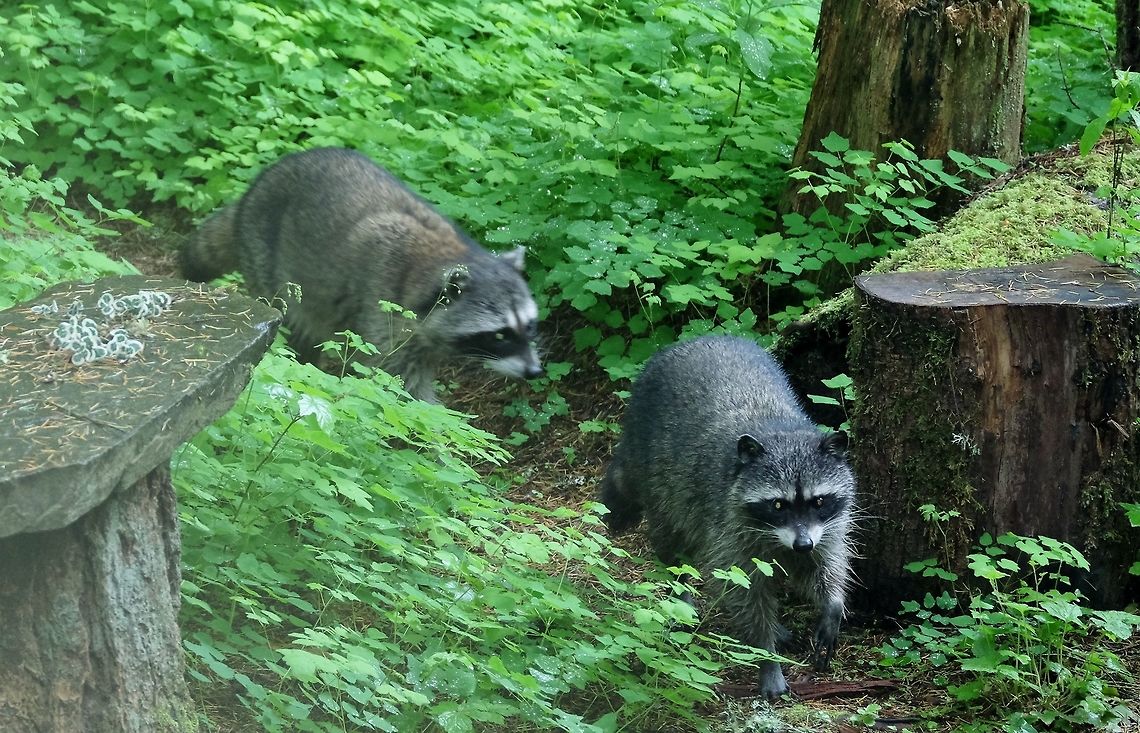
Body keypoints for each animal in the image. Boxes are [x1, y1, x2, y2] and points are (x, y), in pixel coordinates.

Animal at [181, 147, 542, 402]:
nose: (535, 371)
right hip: (267, 258)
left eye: (529, 326)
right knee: (297, 325)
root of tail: (254, 189)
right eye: (499, 335)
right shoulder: (384, 308)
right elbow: (396, 386)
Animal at [599, 335, 856, 700]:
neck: (780, 431)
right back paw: (681, 595)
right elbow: (741, 589)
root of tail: (695, 340)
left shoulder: (827, 526)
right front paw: (766, 656)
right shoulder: (728, 527)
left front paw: (833, 603)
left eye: (818, 501)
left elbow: (825, 565)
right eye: (778, 505)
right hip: (661, 482)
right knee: (674, 549)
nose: (802, 544)